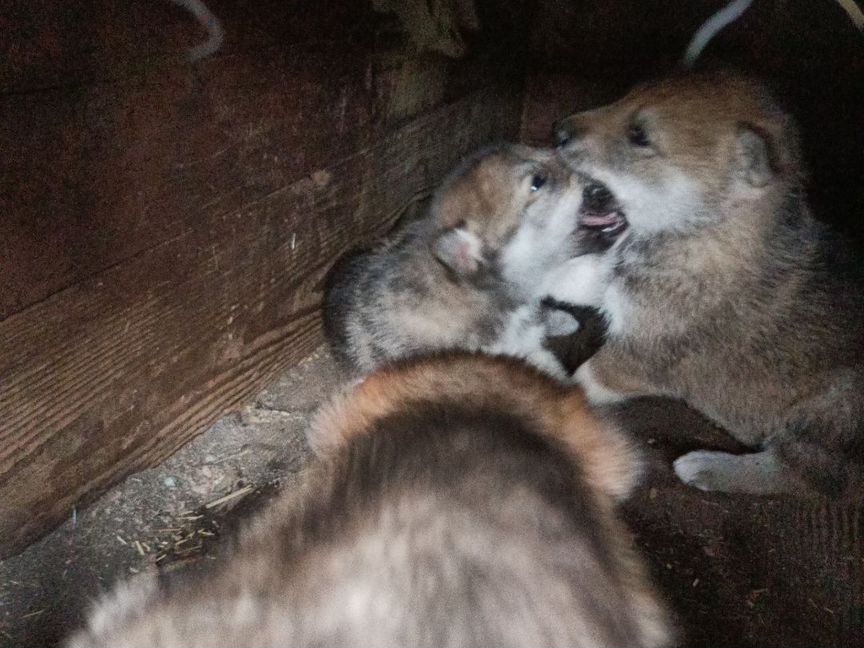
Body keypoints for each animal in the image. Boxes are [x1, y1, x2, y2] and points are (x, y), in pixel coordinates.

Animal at [548, 72, 864, 496]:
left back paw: (706, 467)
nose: (557, 129)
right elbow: (566, 274)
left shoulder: (636, 357)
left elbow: (580, 379)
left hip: (830, 414)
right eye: (625, 96)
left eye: (639, 135)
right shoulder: (616, 287)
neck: (700, 235)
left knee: (805, 477)